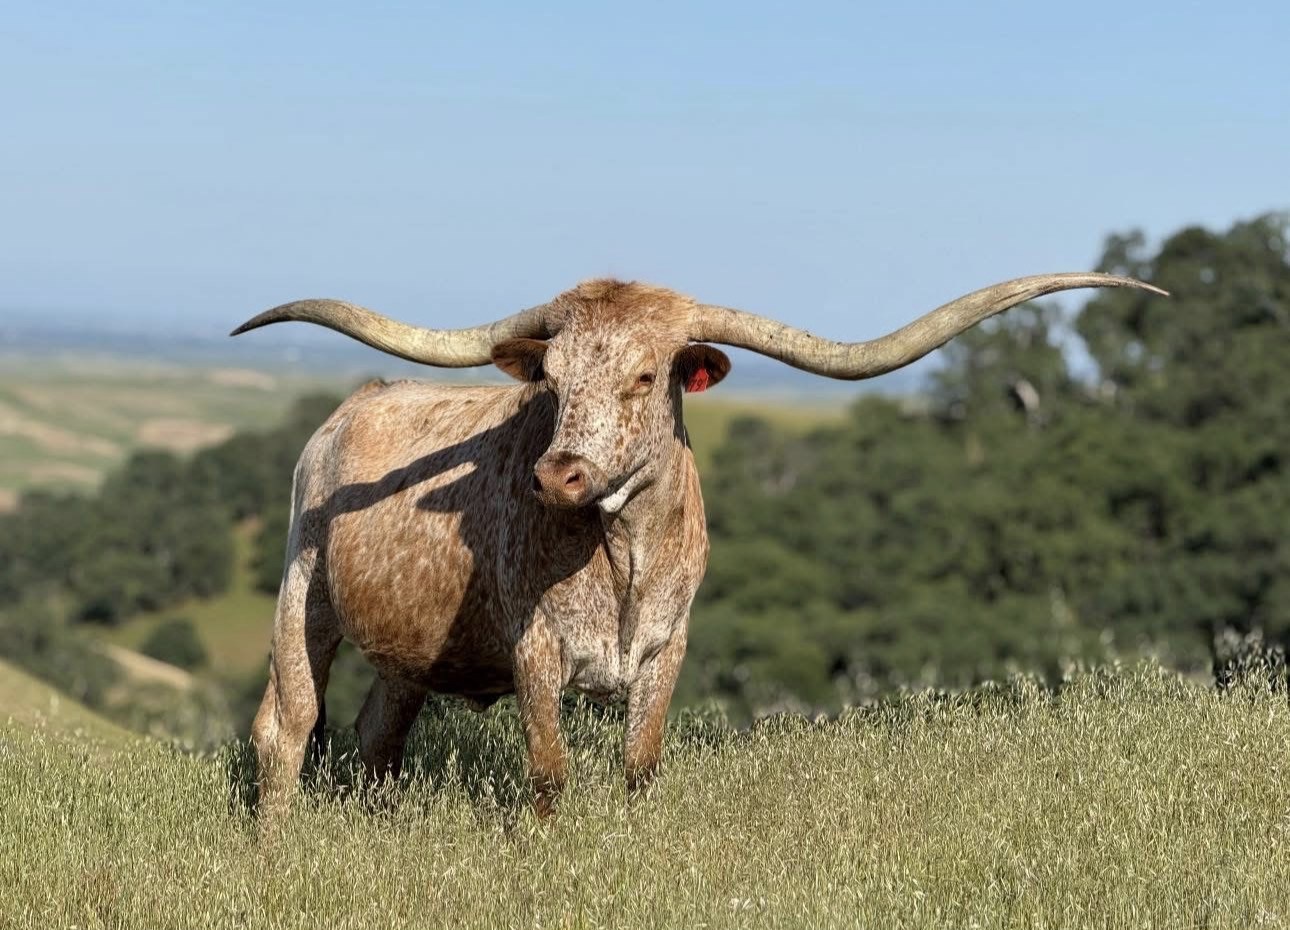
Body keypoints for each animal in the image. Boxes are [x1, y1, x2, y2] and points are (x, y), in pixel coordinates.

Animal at [232, 272, 1163, 818]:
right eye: (555, 381)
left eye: (647, 375)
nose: (559, 475)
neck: (622, 555)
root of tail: (353, 405)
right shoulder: (536, 651)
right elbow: (549, 773)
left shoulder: (667, 647)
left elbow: (640, 766)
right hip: (302, 592)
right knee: (287, 727)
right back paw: (281, 849)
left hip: (411, 651)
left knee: (376, 736)